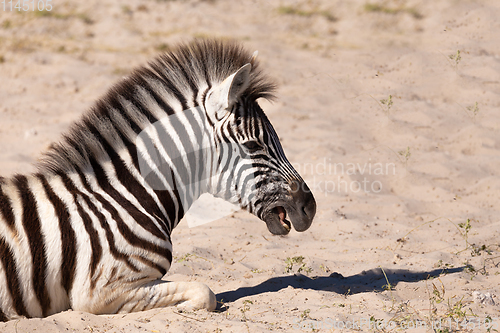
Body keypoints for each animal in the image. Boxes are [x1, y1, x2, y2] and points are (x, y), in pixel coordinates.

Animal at [0, 39, 316, 322]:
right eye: (253, 145)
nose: (310, 208)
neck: (124, 196)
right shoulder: (98, 292)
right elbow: (205, 292)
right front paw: (184, 308)